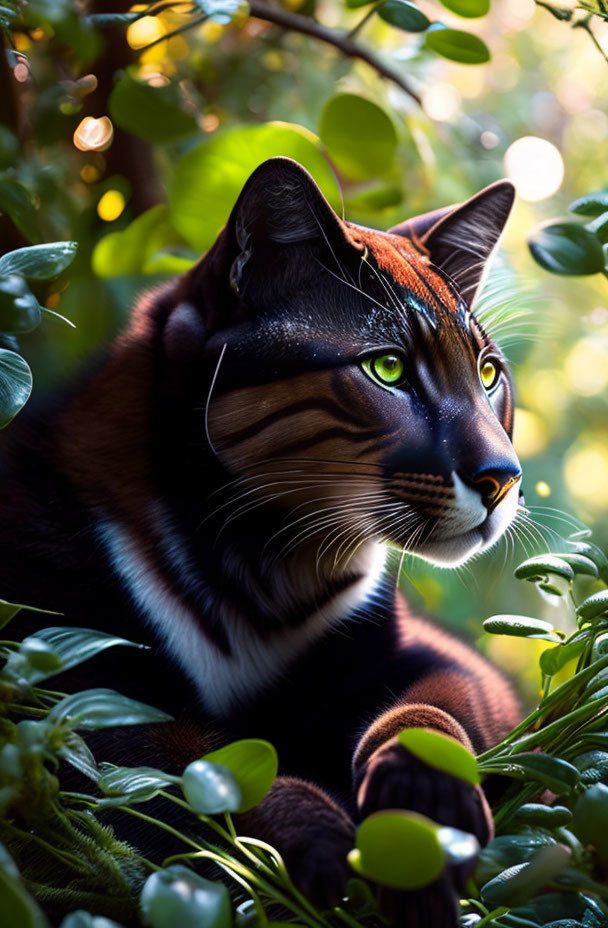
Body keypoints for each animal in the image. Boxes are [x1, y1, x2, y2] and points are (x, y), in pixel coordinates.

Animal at [0, 160, 524, 928]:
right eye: (388, 369)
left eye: (488, 374)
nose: (502, 475)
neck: (264, 565)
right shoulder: (65, 684)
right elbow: (196, 767)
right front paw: (323, 843)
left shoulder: (422, 652)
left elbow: (435, 706)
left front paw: (427, 811)